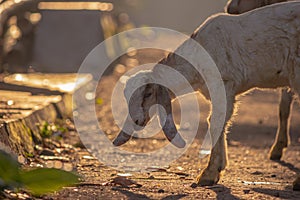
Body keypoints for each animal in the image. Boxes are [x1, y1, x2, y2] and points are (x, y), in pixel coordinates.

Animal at [113, 1, 298, 186]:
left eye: (148, 94)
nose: (137, 120)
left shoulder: (223, 84)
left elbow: (215, 122)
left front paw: (208, 174)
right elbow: (219, 123)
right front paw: (219, 168)